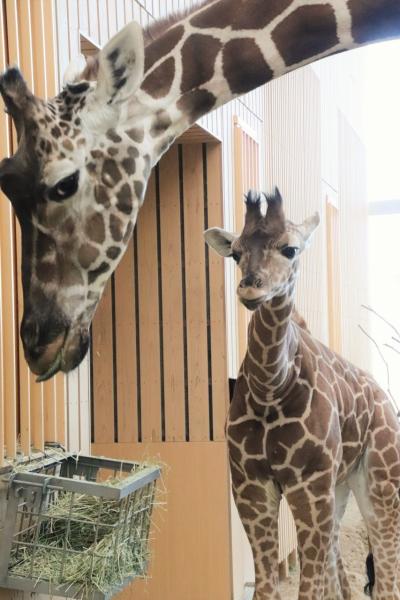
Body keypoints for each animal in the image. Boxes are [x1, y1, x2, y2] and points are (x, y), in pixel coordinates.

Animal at [205, 191, 400, 600]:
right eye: (235, 253)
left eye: (290, 249)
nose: (251, 288)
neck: (270, 386)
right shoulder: (251, 485)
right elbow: (267, 586)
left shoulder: (307, 484)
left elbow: (309, 588)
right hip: (340, 485)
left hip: (379, 479)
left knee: (385, 570)